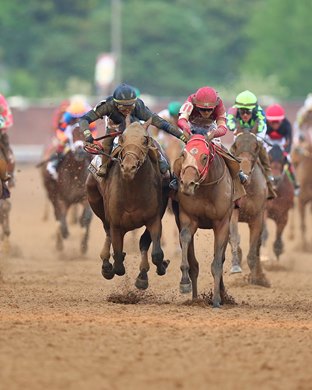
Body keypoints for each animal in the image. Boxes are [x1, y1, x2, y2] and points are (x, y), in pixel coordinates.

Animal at [40, 125, 91, 253]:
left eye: (85, 135)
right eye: (71, 136)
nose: (80, 151)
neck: (75, 172)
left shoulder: (85, 198)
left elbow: (86, 218)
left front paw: (84, 246)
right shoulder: (61, 199)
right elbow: (61, 218)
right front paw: (64, 233)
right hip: (52, 195)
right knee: (57, 215)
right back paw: (59, 243)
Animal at [86, 117, 171, 288]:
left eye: (145, 140)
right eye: (122, 139)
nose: (128, 167)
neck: (132, 193)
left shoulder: (154, 219)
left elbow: (156, 252)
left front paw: (153, 271)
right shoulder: (116, 224)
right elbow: (118, 260)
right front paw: (111, 266)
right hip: (94, 199)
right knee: (106, 230)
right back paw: (106, 264)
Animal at [171, 134, 234, 308]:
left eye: (204, 157)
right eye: (183, 154)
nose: (187, 184)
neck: (206, 188)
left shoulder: (222, 223)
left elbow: (217, 263)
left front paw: (217, 300)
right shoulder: (187, 218)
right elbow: (185, 238)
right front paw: (184, 283)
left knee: (221, 257)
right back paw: (195, 298)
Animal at [228, 131, 270, 286]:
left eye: (256, 147)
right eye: (236, 145)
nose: (244, 172)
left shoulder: (257, 217)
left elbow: (253, 249)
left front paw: (257, 278)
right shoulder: (233, 212)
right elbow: (234, 237)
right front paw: (235, 267)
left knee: (258, 246)